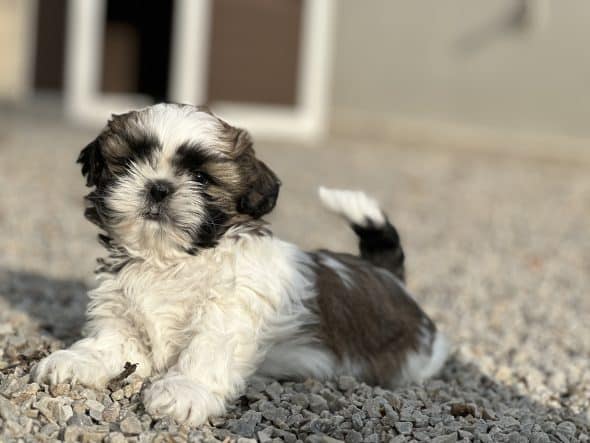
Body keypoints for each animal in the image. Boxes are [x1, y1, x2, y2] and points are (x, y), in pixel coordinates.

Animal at [33, 103, 448, 426]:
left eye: (201, 177)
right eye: (131, 161)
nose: (159, 186)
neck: (172, 260)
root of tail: (388, 275)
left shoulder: (228, 311)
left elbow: (206, 350)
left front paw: (185, 390)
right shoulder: (122, 311)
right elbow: (110, 343)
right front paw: (76, 360)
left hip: (415, 355)